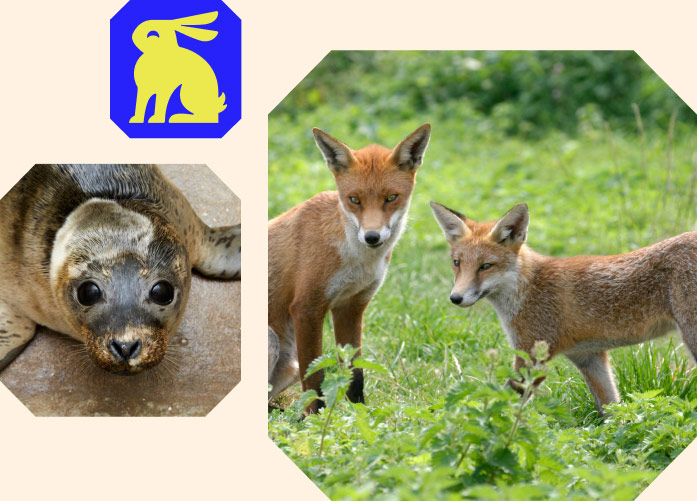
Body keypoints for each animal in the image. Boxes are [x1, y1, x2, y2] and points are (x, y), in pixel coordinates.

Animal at [268, 124, 431, 413]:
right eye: (354, 199)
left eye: (391, 197)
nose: (372, 237)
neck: (358, 262)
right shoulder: (307, 308)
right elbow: (315, 381)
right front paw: (315, 421)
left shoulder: (352, 306)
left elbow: (356, 376)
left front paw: (361, 416)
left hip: (289, 367)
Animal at [430, 200, 697, 415]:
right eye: (457, 263)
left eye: (486, 266)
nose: (456, 298)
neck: (527, 289)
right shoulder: (589, 357)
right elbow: (612, 412)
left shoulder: (532, 355)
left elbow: (502, 402)